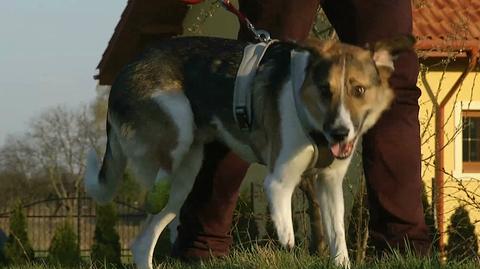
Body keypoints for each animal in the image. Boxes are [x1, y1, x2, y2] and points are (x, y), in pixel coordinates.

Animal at [84, 36, 410, 268]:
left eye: (358, 90)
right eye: (324, 90)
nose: (340, 132)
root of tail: (123, 73)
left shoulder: (329, 184)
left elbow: (338, 238)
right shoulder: (279, 180)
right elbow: (284, 218)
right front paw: (286, 241)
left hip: (183, 181)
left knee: (143, 242)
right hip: (178, 124)